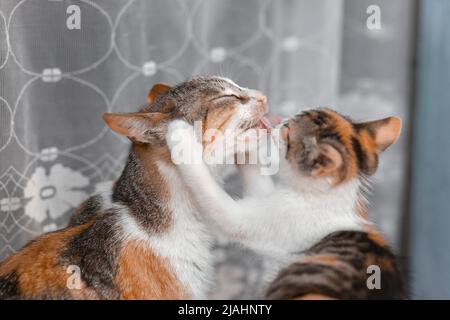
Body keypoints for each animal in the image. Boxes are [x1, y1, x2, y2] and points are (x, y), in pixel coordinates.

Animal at [167, 108, 406, 300]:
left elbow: (216, 201)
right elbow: (257, 180)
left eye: (287, 132)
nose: (281, 121)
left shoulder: (265, 220)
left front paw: (180, 136)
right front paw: (249, 142)